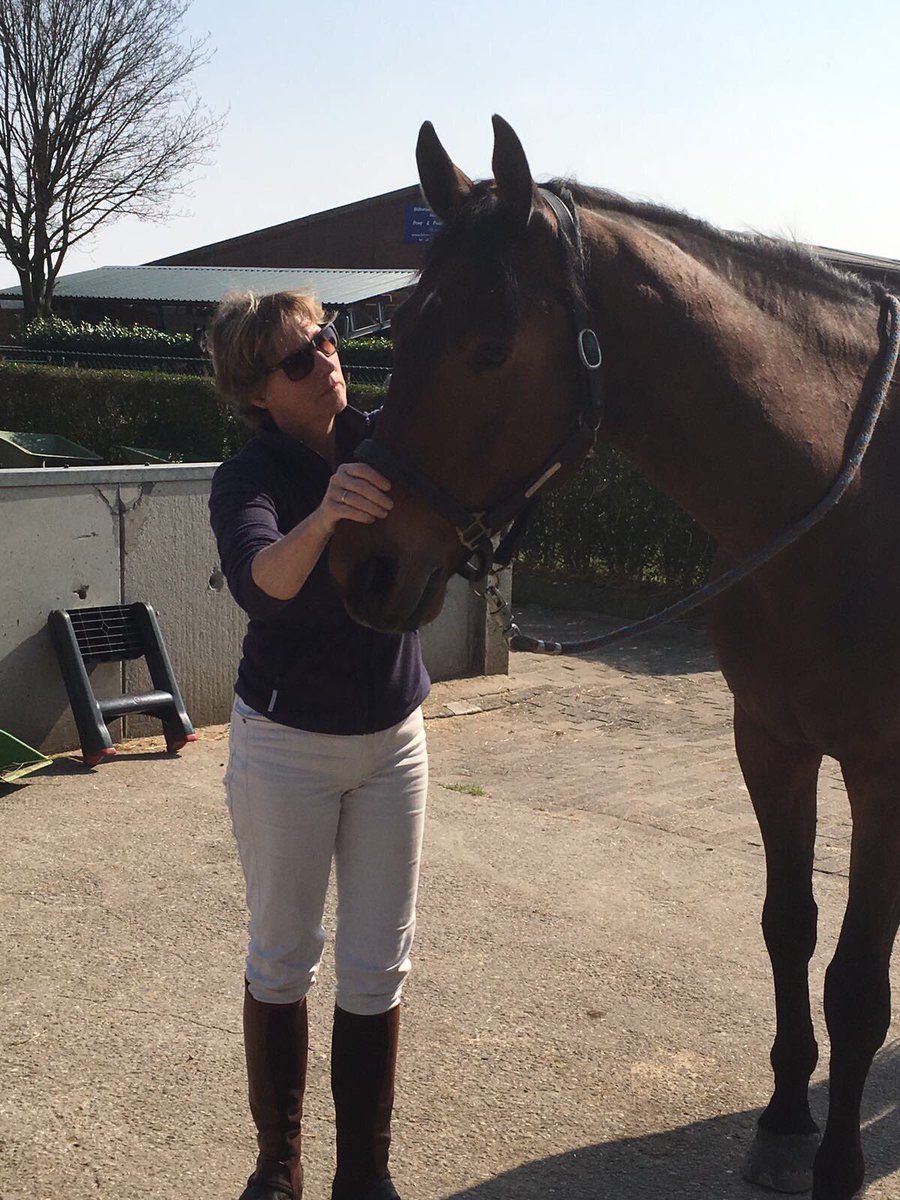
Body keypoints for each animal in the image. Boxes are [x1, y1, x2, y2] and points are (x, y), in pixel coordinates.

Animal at [329, 116, 900, 1200]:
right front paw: (783, 1119)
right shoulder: (772, 741)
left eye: (491, 347)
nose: (364, 565)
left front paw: (841, 1162)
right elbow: (789, 925)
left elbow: (856, 979)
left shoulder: (886, 774)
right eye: (402, 327)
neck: (849, 496)